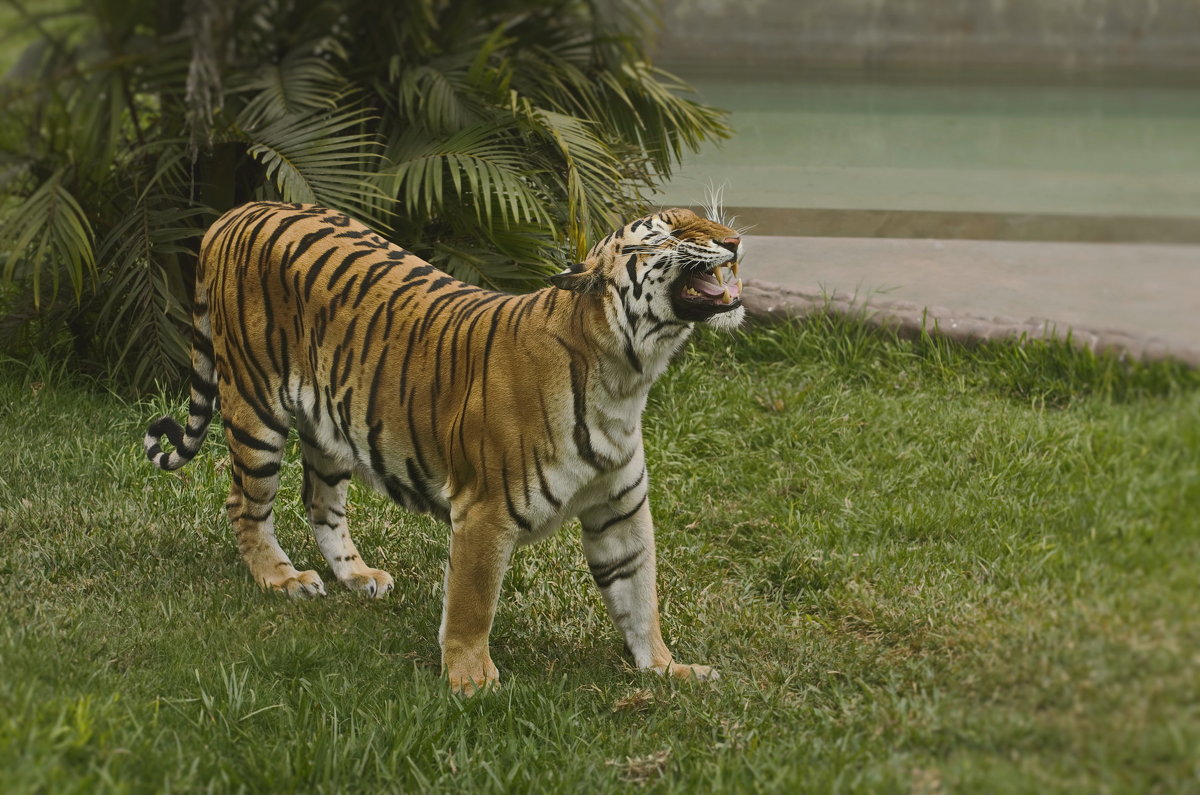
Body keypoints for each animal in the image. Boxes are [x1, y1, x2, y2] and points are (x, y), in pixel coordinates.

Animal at [140, 202, 739, 696]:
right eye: (669, 233)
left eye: (707, 219)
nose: (734, 240)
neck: (625, 376)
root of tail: (237, 212)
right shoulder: (485, 511)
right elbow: (473, 603)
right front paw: (471, 681)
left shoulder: (620, 508)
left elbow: (639, 596)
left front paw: (667, 668)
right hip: (254, 409)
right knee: (244, 504)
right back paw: (283, 579)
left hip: (329, 425)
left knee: (319, 502)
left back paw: (357, 576)